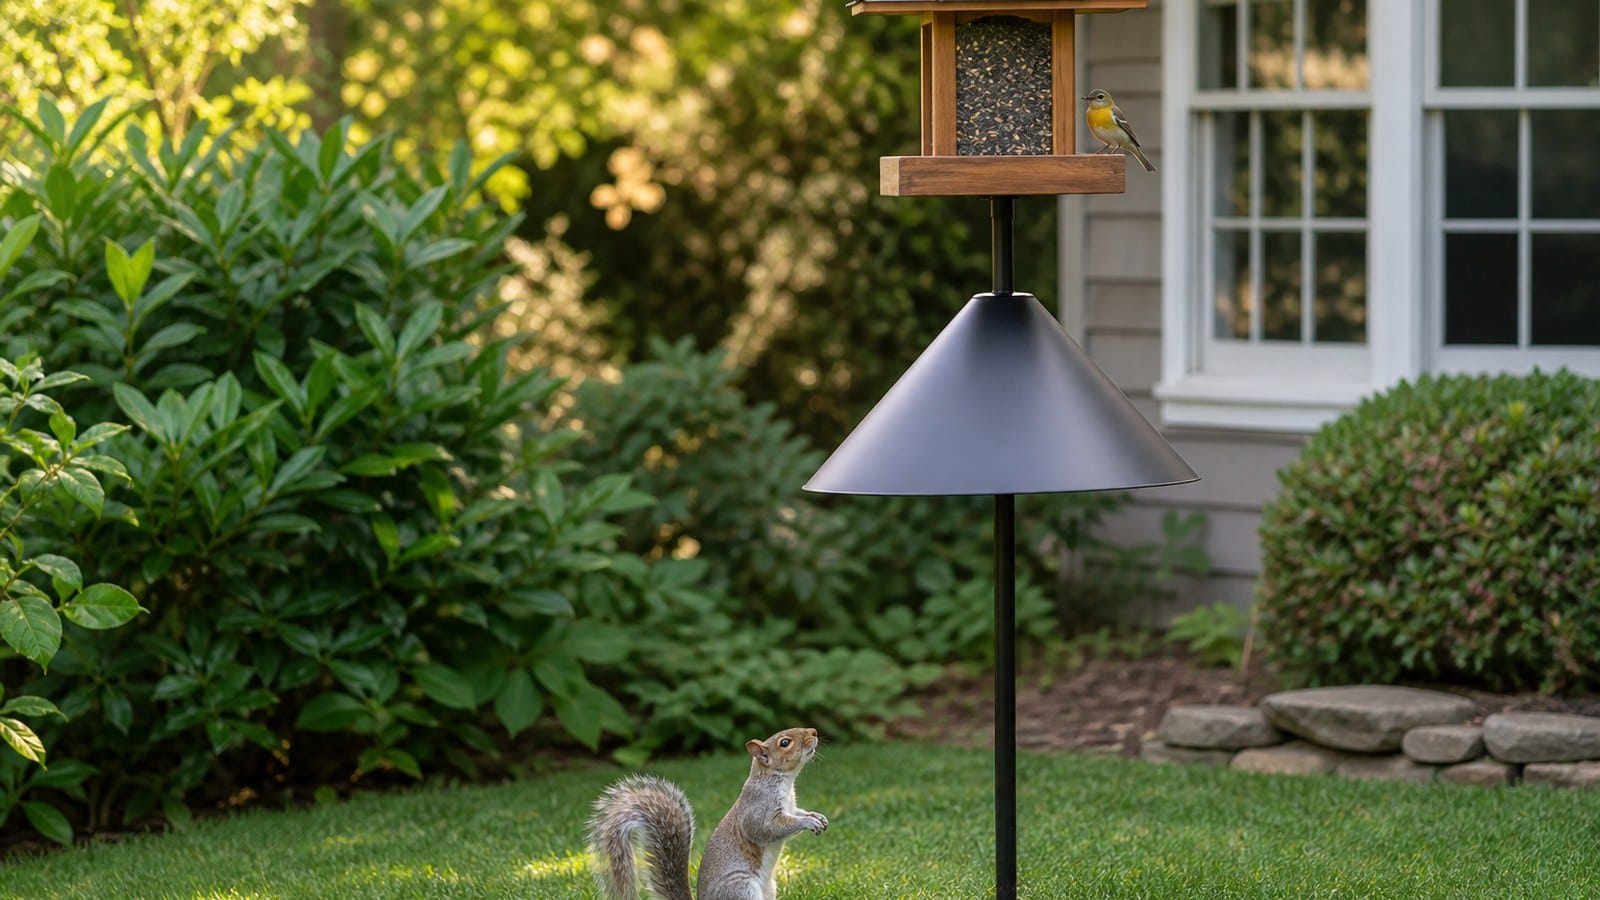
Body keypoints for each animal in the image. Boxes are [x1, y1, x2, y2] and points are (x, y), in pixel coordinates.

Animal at [587, 726, 829, 900]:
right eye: (785, 742)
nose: (814, 732)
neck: (783, 782)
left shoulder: (791, 806)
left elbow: (798, 812)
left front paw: (816, 816)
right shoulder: (757, 809)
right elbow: (769, 829)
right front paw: (808, 823)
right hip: (741, 888)